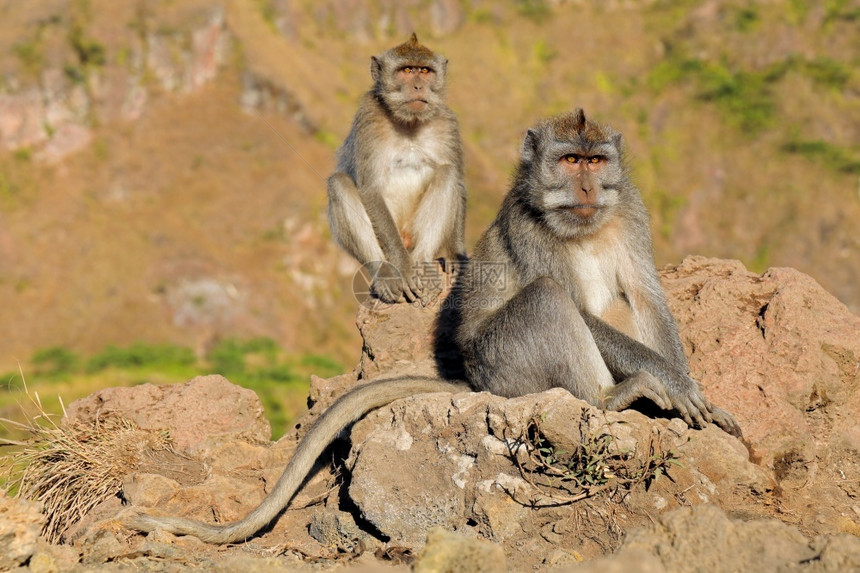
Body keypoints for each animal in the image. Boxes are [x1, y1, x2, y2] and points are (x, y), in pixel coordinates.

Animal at [124, 109, 744, 544]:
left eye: (596, 162)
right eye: (570, 161)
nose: (588, 188)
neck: (583, 223)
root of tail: (472, 381)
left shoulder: (631, 210)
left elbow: (646, 295)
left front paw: (694, 392)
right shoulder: (531, 229)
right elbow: (573, 303)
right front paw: (677, 386)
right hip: (505, 366)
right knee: (546, 299)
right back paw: (610, 396)